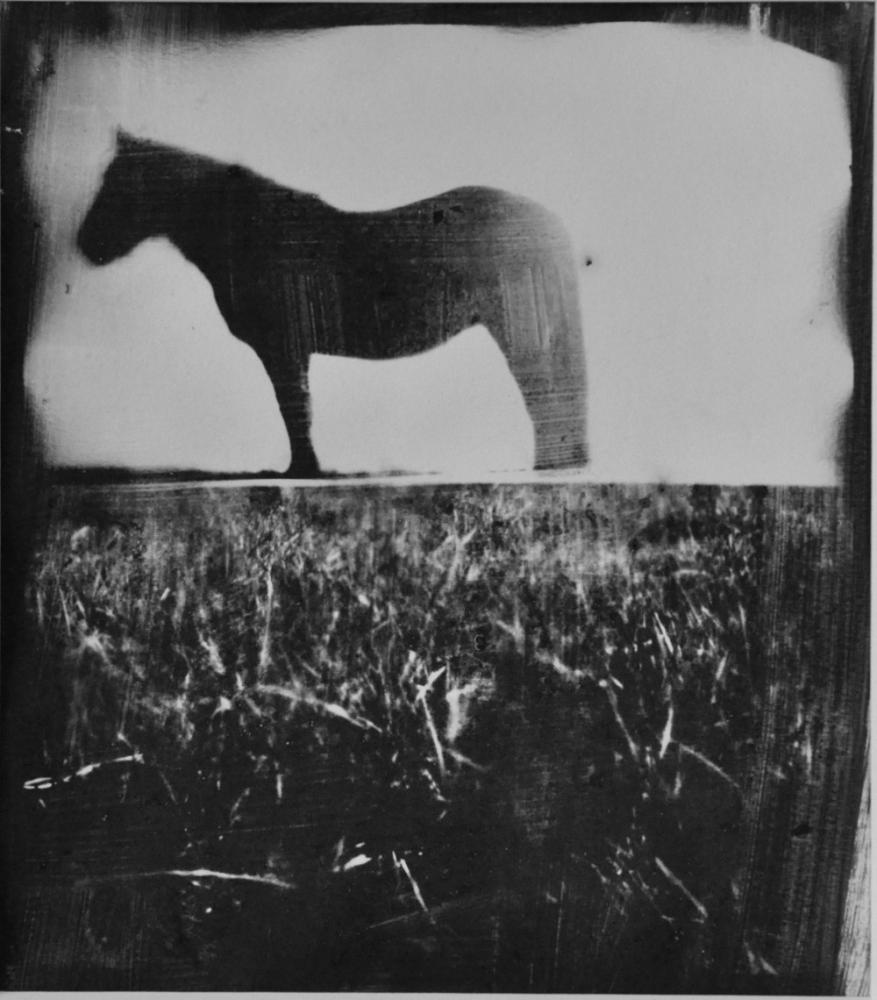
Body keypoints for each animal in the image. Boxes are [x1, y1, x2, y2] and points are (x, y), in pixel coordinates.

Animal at [77, 130, 588, 477]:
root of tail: (549, 220)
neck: (250, 232)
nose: (85, 245)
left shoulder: (283, 349)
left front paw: (303, 469)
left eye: (118, 181)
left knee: (543, 389)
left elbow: (294, 406)